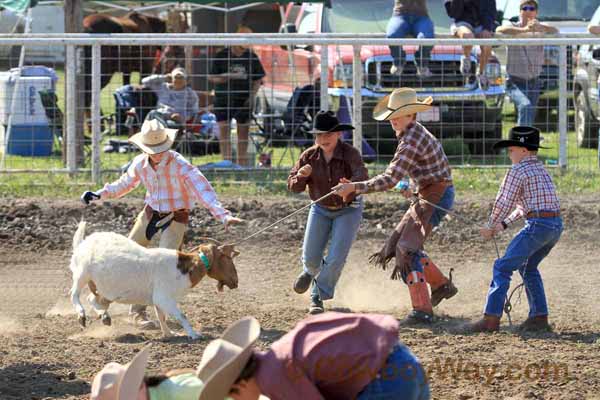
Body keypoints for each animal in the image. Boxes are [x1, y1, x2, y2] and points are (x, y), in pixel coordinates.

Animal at [68, 220, 239, 340]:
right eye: (226, 257)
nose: (236, 282)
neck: (183, 268)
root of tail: (83, 242)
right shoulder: (164, 297)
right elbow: (181, 315)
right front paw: (194, 334)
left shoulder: (160, 300)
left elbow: (161, 316)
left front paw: (170, 333)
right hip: (82, 273)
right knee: (74, 294)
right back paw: (81, 316)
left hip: (104, 289)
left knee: (92, 299)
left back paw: (105, 317)